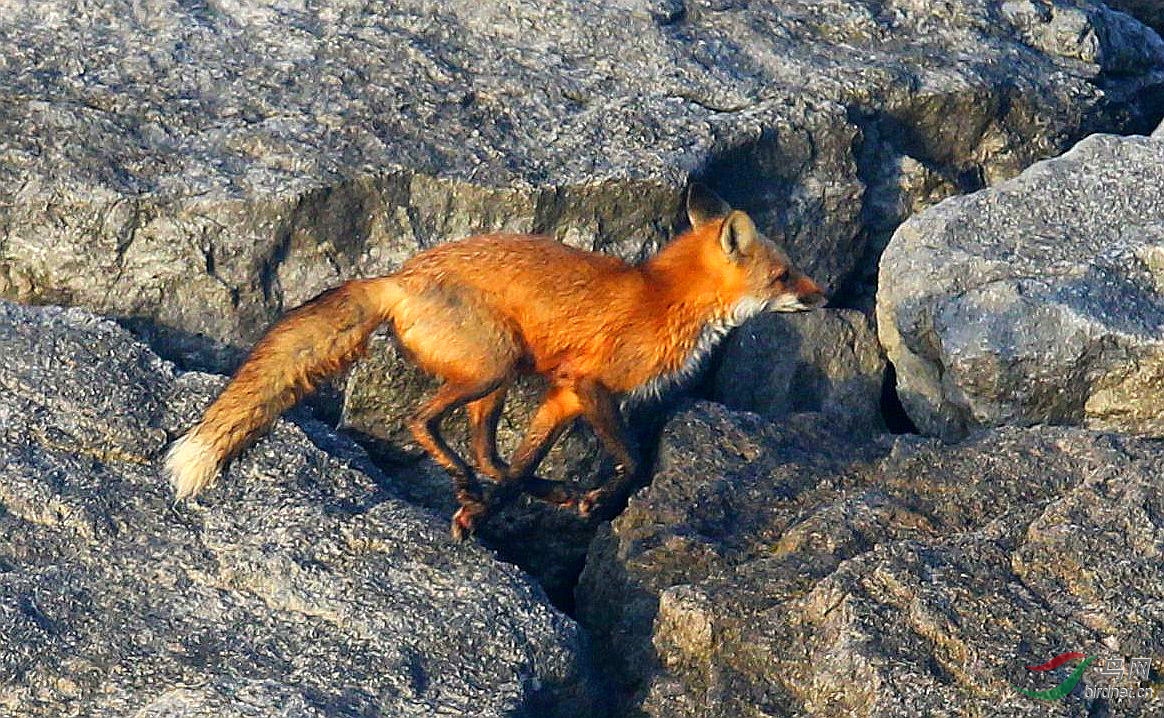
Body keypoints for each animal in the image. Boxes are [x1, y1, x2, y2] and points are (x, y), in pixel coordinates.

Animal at [164, 185, 828, 537]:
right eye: (784, 274)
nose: (824, 296)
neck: (664, 300)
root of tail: (400, 277)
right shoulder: (588, 383)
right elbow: (633, 462)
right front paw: (581, 499)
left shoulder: (562, 396)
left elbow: (520, 467)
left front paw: (496, 508)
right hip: (494, 366)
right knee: (422, 422)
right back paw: (465, 479)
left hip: (499, 383)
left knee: (487, 453)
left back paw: (523, 490)